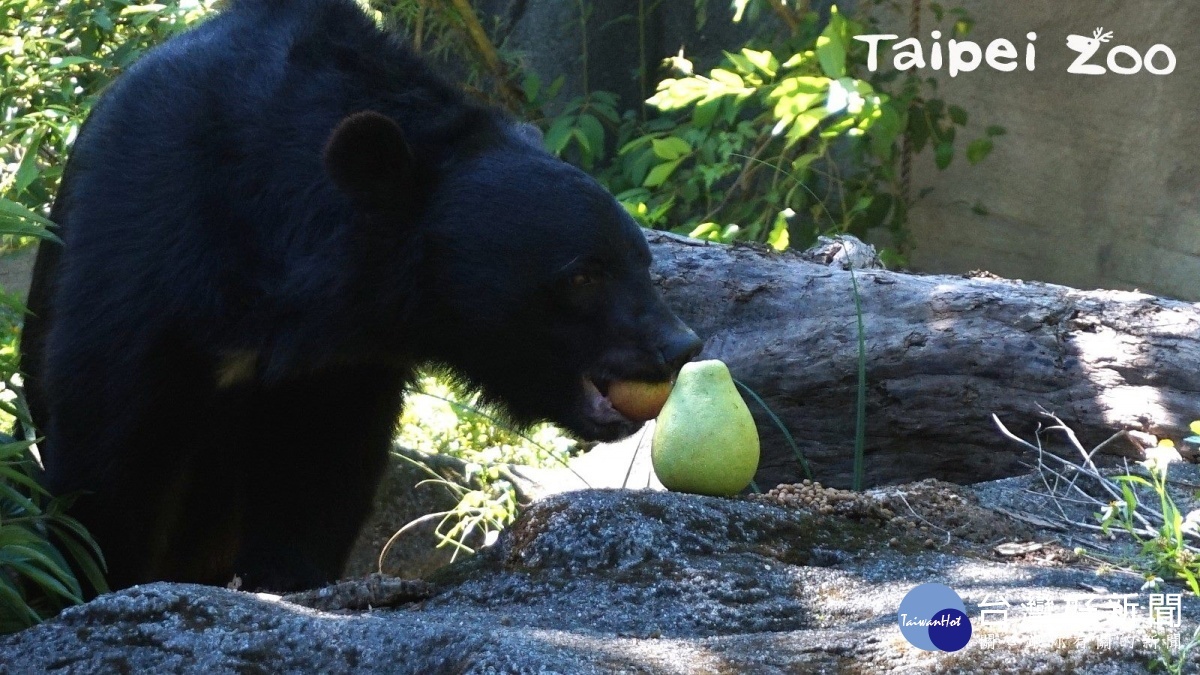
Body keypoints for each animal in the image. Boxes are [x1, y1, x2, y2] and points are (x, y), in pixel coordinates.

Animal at [21, 0, 700, 590]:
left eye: (641, 261)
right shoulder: (147, 256)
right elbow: (112, 444)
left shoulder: (342, 364)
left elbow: (320, 465)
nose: (679, 347)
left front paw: (286, 577)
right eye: (584, 275)